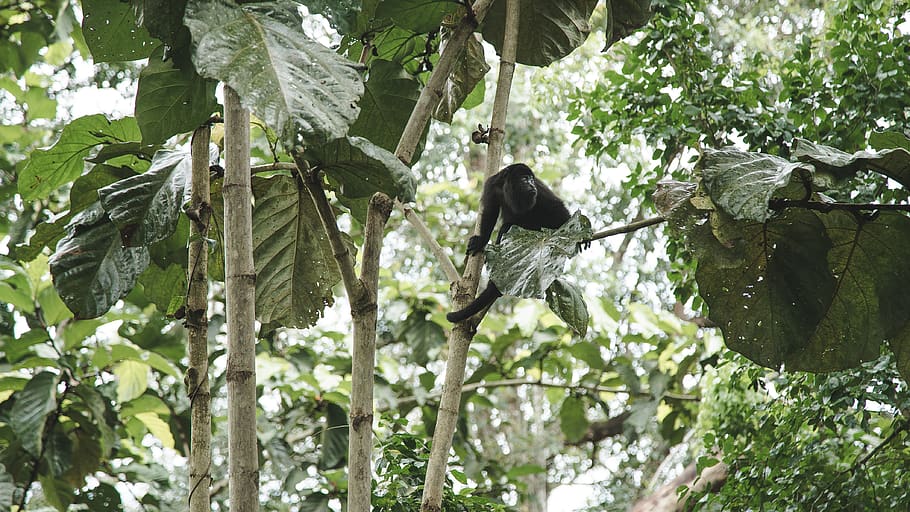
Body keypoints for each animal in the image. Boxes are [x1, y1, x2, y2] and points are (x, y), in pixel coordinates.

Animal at [446, 163, 573, 323]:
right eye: (525, 179)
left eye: (532, 179)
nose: (531, 184)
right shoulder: (491, 185)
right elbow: (489, 212)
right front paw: (480, 241)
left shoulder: (540, 189)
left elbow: (557, 207)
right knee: (506, 228)